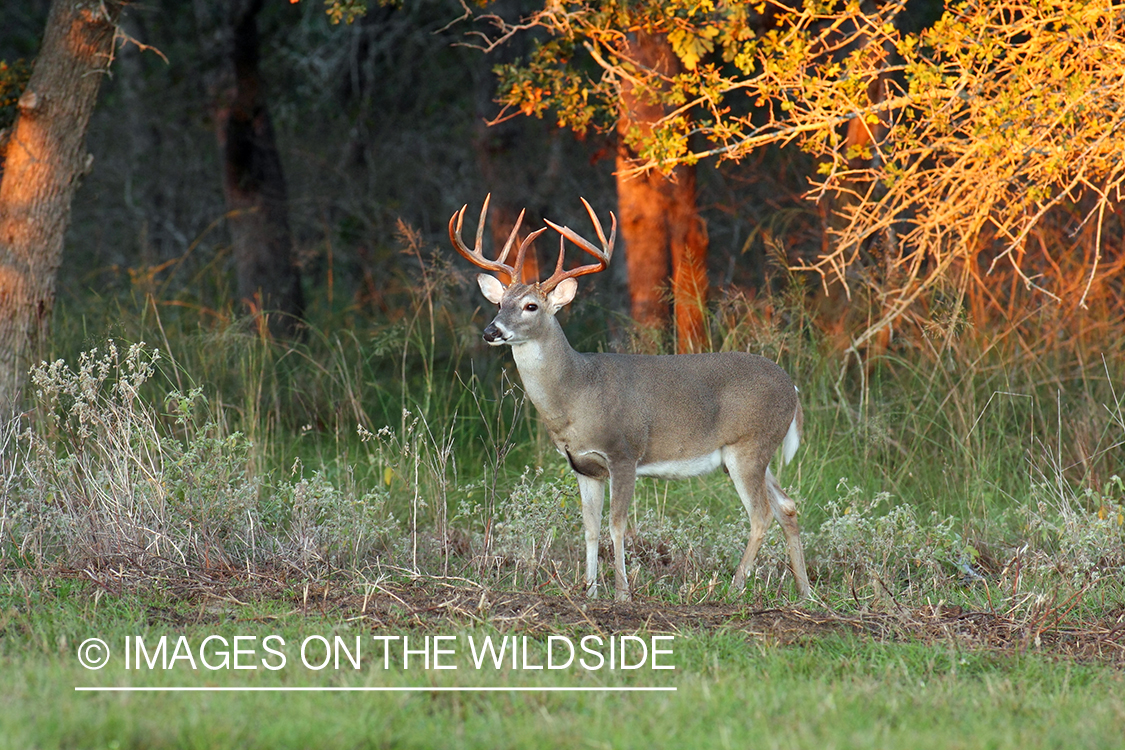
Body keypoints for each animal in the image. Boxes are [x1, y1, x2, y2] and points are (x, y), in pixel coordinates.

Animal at [447, 195, 810, 602]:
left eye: (531, 306)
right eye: (500, 304)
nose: (491, 331)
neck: (577, 392)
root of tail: (793, 389)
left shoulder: (623, 452)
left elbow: (617, 524)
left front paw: (622, 592)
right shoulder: (584, 466)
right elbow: (589, 527)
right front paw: (590, 590)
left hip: (749, 445)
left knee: (761, 514)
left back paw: (733, 587)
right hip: (754, 454)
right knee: (788, 506)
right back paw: (806, 592)